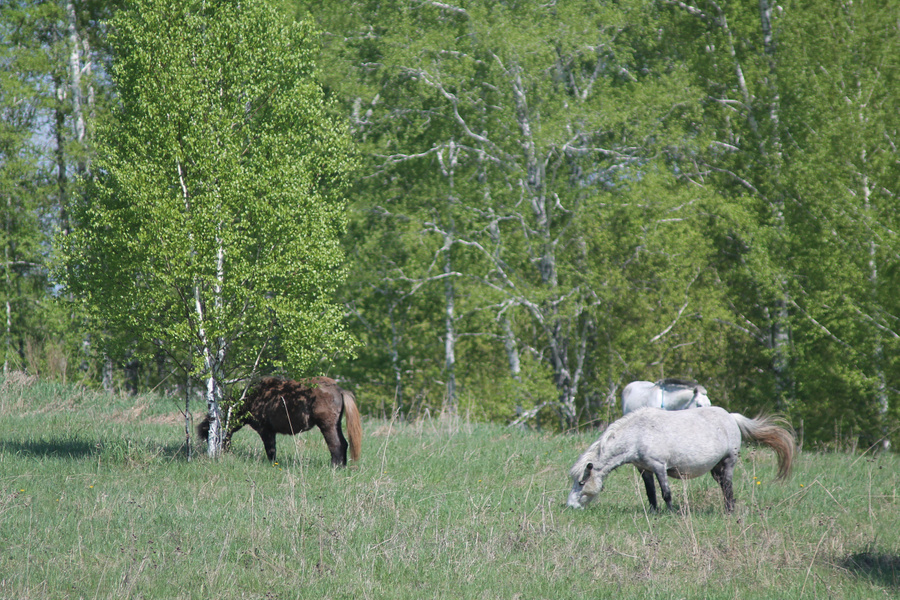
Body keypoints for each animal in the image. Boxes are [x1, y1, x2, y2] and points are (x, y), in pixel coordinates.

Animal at [200, 376, 362, 468]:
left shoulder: (265, 430)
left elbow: (271, 450)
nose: (220, 451)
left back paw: (335, 468)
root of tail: (339, 389)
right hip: (336, 425)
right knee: (344, 444)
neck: (252, 398)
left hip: (327, 425)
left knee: (336, 445)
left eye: (209, 431)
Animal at [568, 408, 796, 510]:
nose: (571, 506)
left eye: (581, 482)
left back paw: (729, 510)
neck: (638, 434)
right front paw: (654, 512)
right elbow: (651, 493)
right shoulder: (644, 469)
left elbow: (665, 493)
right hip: (716, 468)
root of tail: (731, 416)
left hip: (729, 462)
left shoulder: (659, 467)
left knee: (728, 486)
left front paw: (670, 513)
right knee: (724, 485)